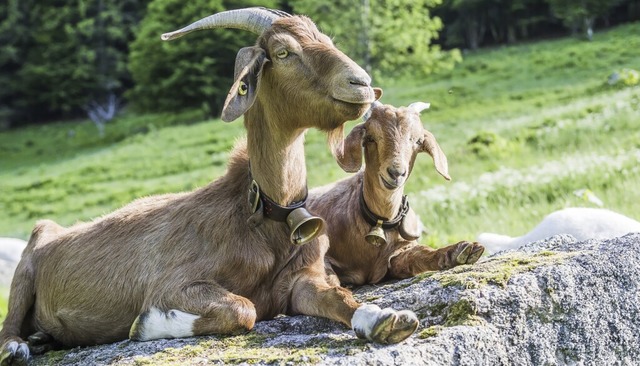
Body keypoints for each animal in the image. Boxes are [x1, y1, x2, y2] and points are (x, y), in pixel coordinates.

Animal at [1, 7, 420, 364]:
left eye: (326, 39)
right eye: (283, 51)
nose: (361, 84)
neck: (262, 212)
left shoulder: (300, 280)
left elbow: (338, 297)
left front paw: (384, 318)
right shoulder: (173, 284)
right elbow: (243, 308)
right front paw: (147, 324)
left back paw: (43, 337)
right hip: (26, 265)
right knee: (10, 322)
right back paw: (20, 347)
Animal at [308, 101, 484, 286]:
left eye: (418, 141)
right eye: (370, 138)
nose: (396, 173)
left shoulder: (398, 251)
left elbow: (419, 254)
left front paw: (461, 251)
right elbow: (325, 272)